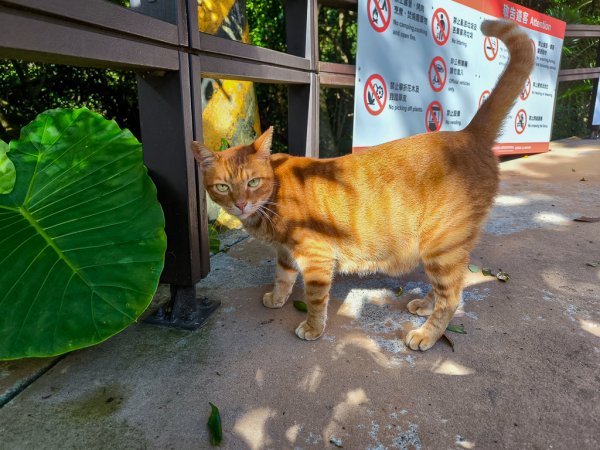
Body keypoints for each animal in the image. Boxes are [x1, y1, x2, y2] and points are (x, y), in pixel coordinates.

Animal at [193, 20, 536, 352]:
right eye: (223, 187)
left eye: (252, 182)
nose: (240, 203)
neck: (272, 197)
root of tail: (468, 133)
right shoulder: (286, 253)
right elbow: (282, 278)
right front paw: (277, 299)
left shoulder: (315, 257)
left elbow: (315, 300)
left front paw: (313, 328)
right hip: (445, 249)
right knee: (449, 289)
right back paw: (424, 305)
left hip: (441, 244)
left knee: (452, 297)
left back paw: (425, 334)